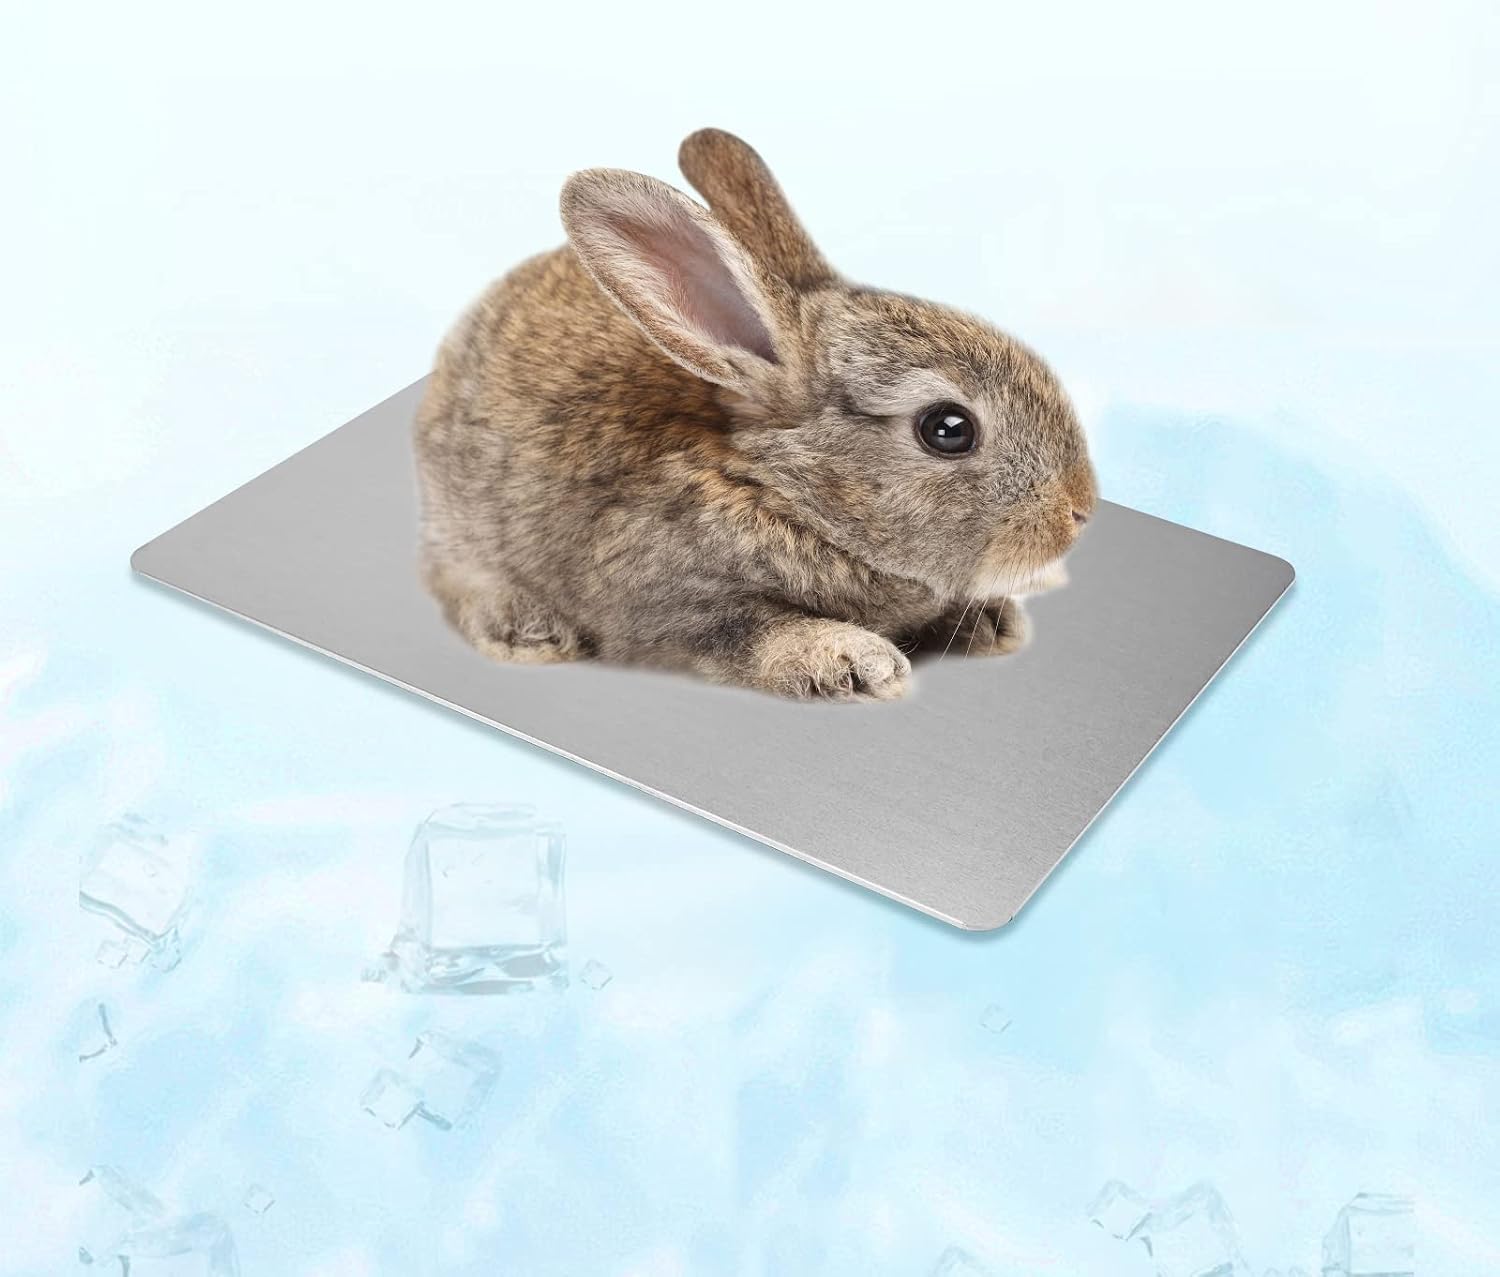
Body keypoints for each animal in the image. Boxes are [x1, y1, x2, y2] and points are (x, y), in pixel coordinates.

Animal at [414, 128, 1096, 701]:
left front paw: (991, 620)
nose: (1079, 510)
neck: (773, 487)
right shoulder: (667, 602)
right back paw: (526, 628)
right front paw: (856, 661)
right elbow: (749, 632)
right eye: (948, 430)